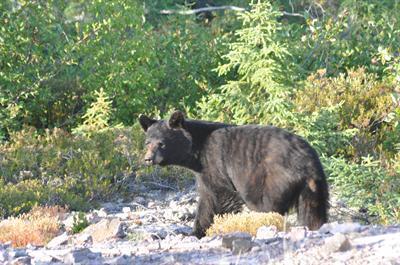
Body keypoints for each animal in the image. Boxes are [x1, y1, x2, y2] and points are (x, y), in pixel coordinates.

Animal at [139, 110, 330, 236]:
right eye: (147, 142)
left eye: (161, 143)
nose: (148, 159)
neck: (196, 153)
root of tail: (307, 161)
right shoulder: (203, 172)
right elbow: (207, 199)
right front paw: (196, 230)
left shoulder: (215, 162)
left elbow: (222, 195)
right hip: (315, 187)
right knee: (313, 211)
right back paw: (315, 226)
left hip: (274, 177)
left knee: (267, 204)